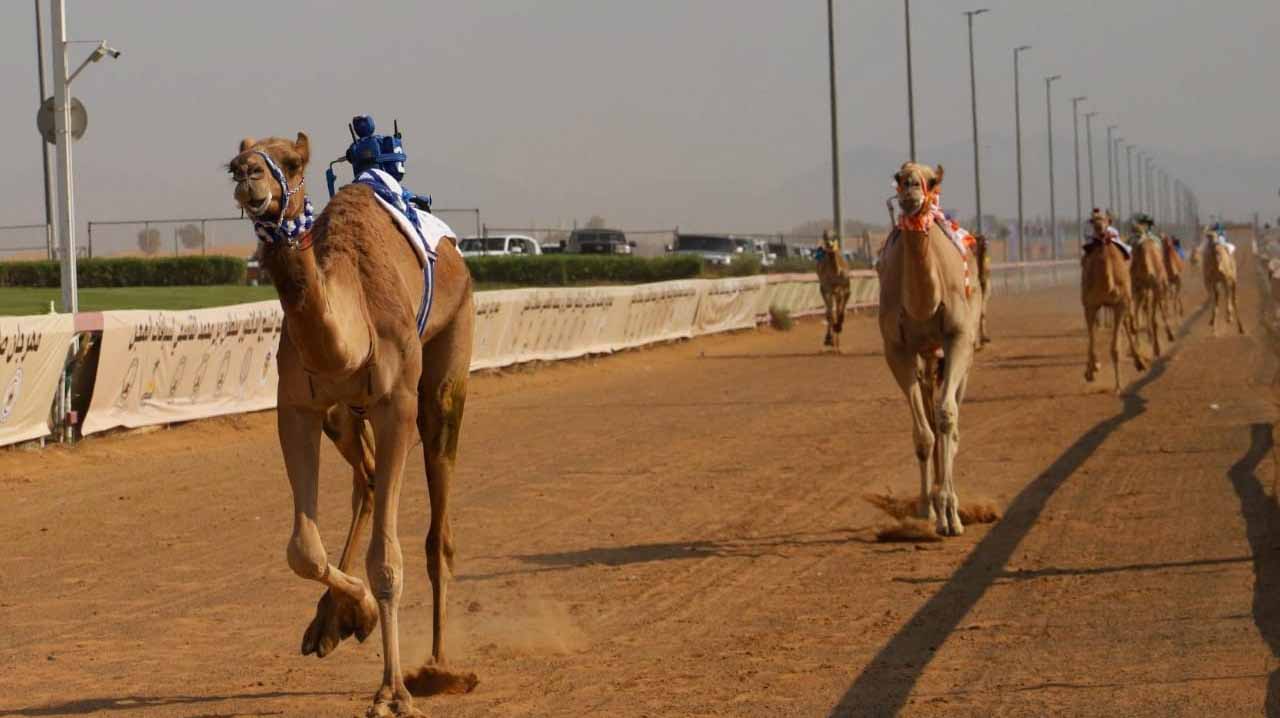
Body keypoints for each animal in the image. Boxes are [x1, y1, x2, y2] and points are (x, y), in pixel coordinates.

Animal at [229, 132, 474, 718]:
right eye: (232, 163)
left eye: (292, 163)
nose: (249, 175)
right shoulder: (296, 407)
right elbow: (303, 549)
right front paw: (356, 613)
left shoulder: (395, 404)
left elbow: (387, 561)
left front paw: (393, 693)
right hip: (343, 418)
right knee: (366, 480)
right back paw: (328, 624)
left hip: (445, 366)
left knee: (437, 528)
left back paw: (437, 666)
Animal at [877, 162, 981, 536]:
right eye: (898, 176)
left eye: (931, 181)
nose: (910, 189)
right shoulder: (896, 349)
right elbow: (923, 434)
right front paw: (928, 510)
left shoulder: (959, 337)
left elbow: (947, 418)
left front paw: (951, 515)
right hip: (925, 356)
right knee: (930, 420)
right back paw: (930, 505)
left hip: (960, 355)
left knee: (951, 420)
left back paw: (952, 507)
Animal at [1081, 212, 1145, 393]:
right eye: (1093, 220)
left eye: (1105, 219)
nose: (1100, 229)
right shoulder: (1090, 305)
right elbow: (1092, 340)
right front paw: (1091, 371)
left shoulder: (1121, 303)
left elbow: (1114, 347)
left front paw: (1118, 386)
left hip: (1125, 300)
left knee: (1126, 324)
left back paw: (1139, 362)